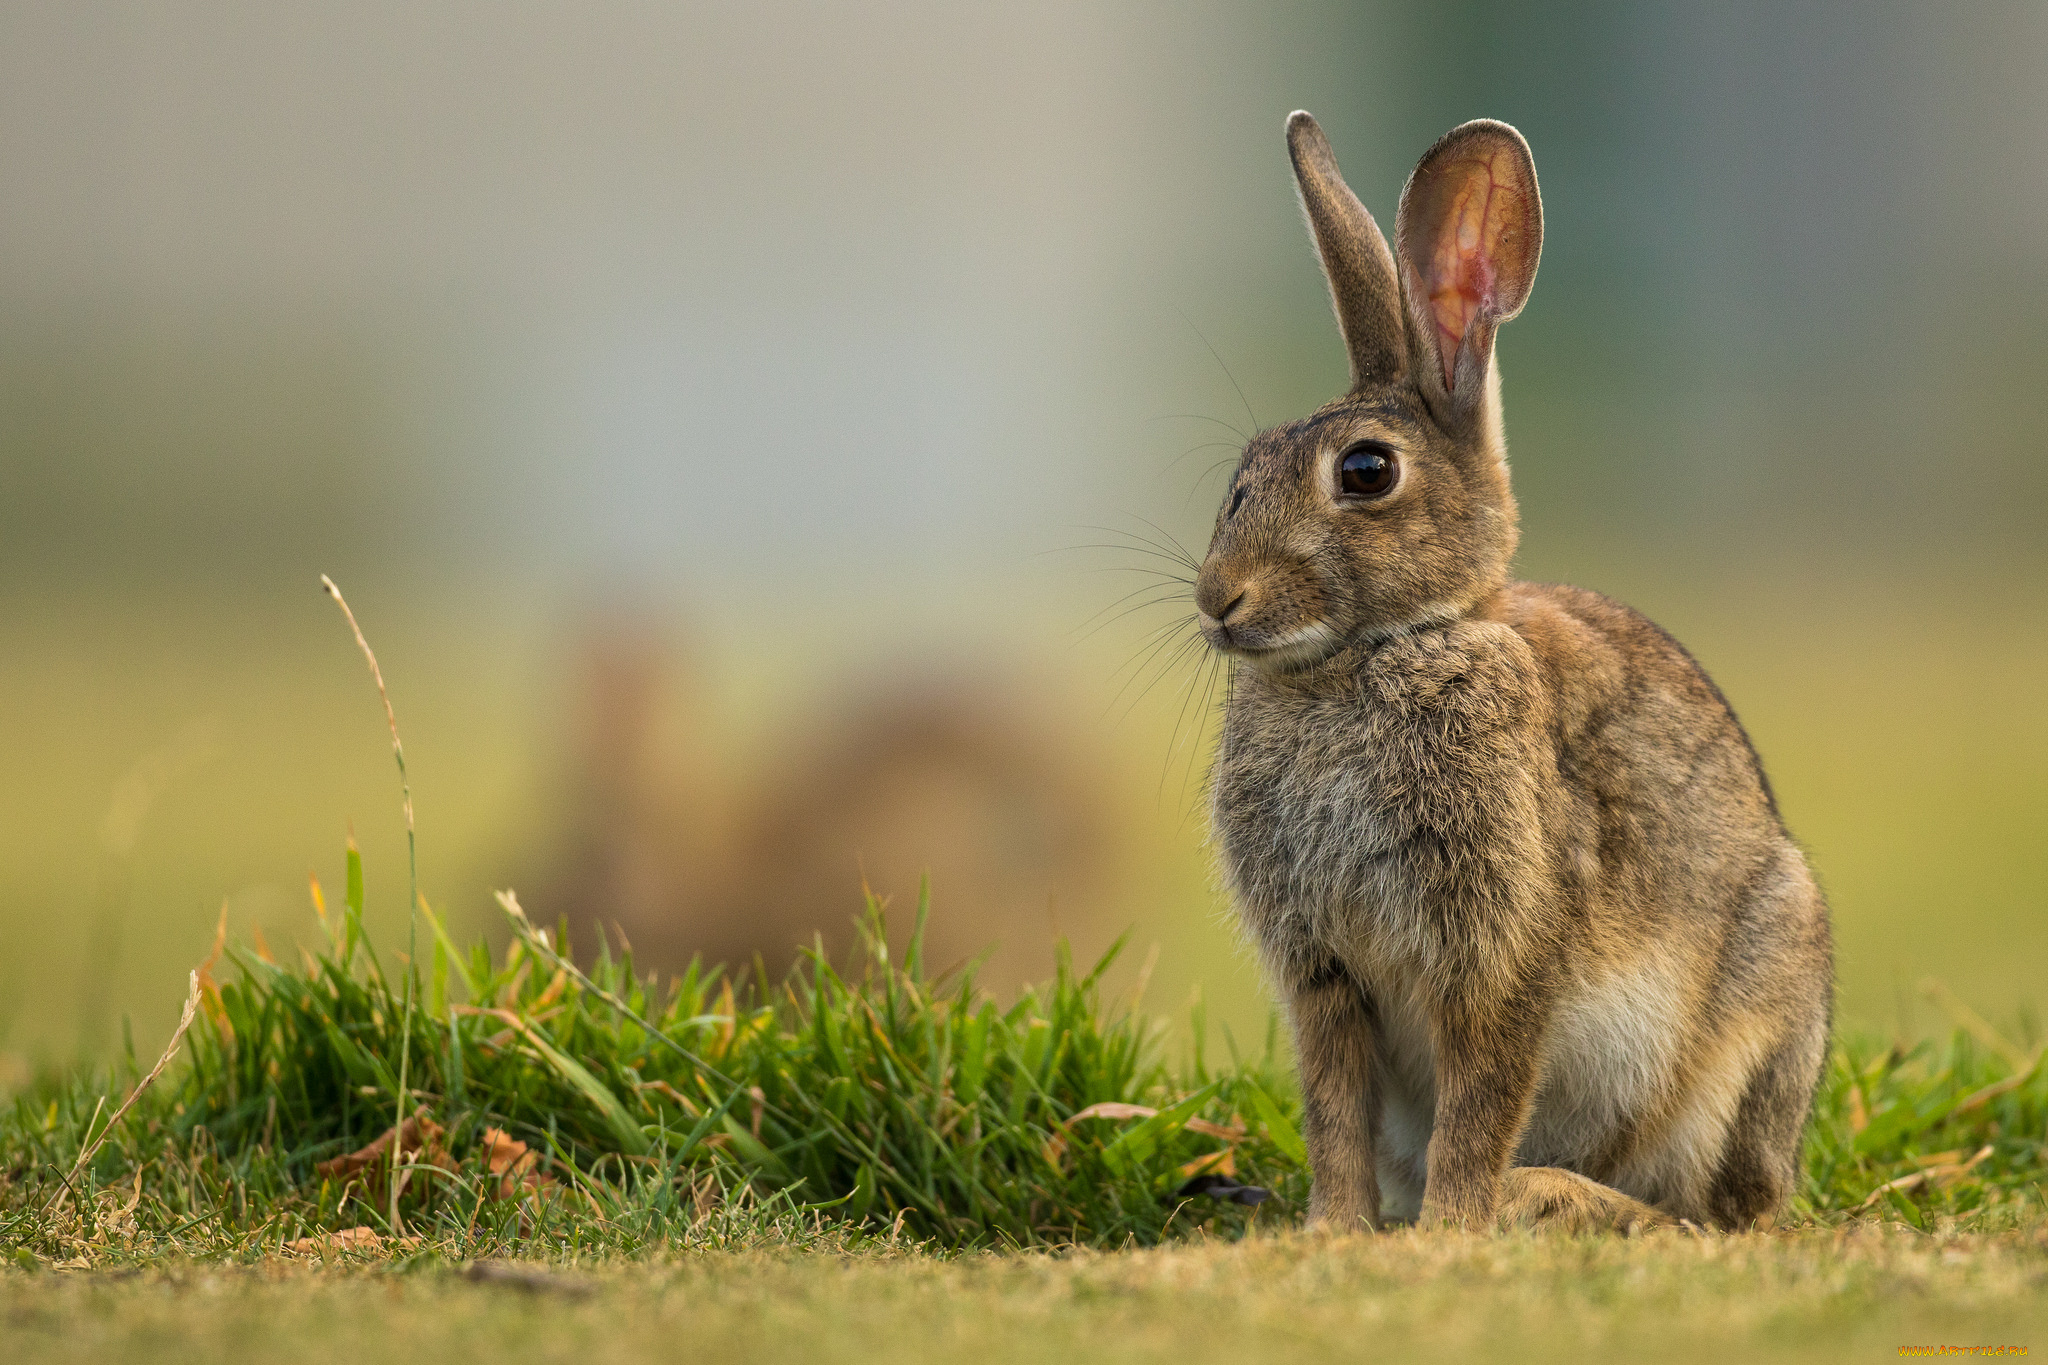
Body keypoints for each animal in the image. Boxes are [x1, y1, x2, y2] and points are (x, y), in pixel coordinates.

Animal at [1196, 112, 1835, 1236]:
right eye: (1243, 474)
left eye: (1365, 472)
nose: (1216, 601)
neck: (1371, 654)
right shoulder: (1322, 975)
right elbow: (1334, 1108)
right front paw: (1335, 1229)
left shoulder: (1503, 947)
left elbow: (1482, 1095)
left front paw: (1451, 1224)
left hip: (1755, 1018)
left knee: (1712, 1212)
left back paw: (1551, 1195)